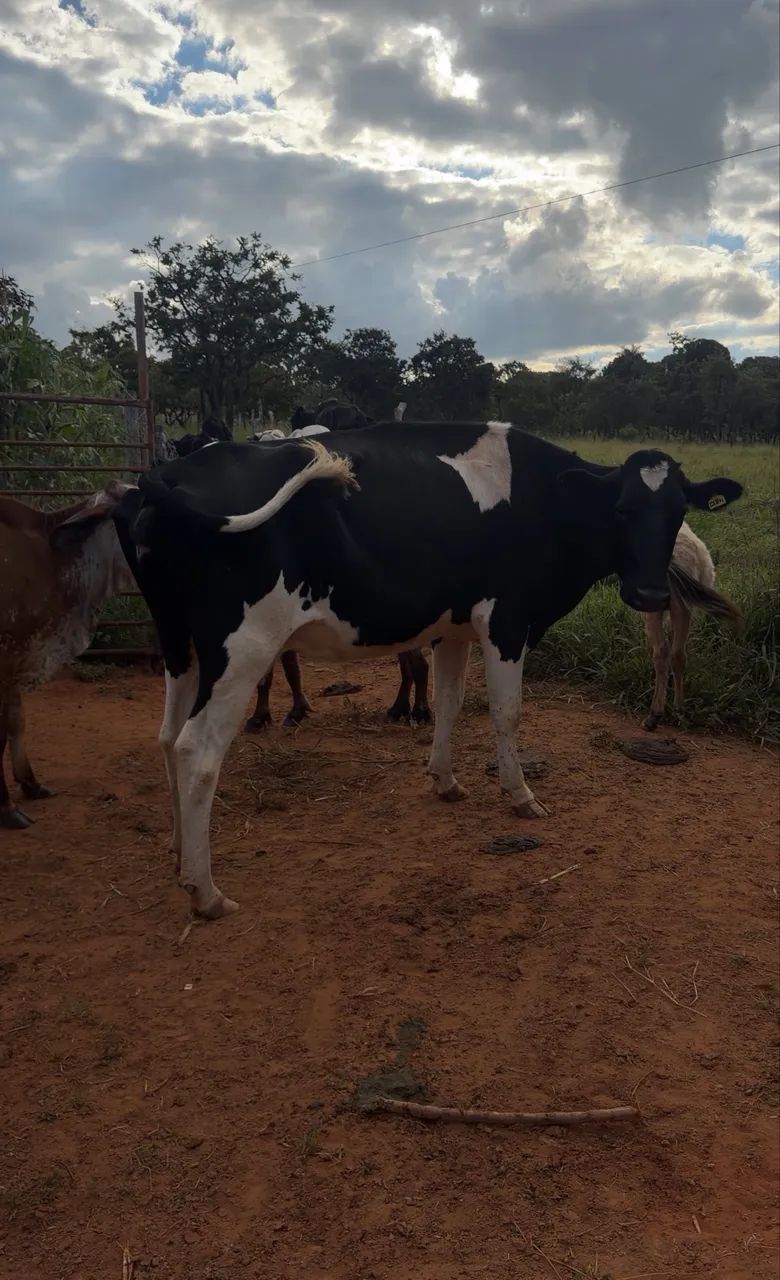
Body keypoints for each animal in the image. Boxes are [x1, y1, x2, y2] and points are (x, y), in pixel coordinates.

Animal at [642, 521, 743, 730]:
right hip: (683, 607)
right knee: (678, 655)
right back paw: (679, 710)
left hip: (659, 607)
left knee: (662, 652)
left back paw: (655, 715)